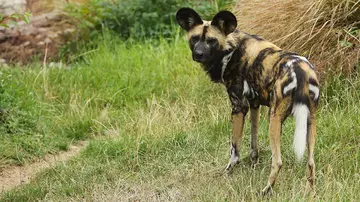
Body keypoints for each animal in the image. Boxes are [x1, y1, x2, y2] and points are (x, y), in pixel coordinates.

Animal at [176, 8, 320, 196]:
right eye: (194, 38)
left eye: (211, 41)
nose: (198, 54)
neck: (230, 49)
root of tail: (301, 71)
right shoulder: (254, 105)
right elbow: (253, 145)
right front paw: (253, 166)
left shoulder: (238, 107)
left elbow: (234, 150)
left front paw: (228, 172)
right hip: (310, 121)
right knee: (311, 162)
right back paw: (311, 193)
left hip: (274, 119)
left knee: (278, 161)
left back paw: (265, 191)